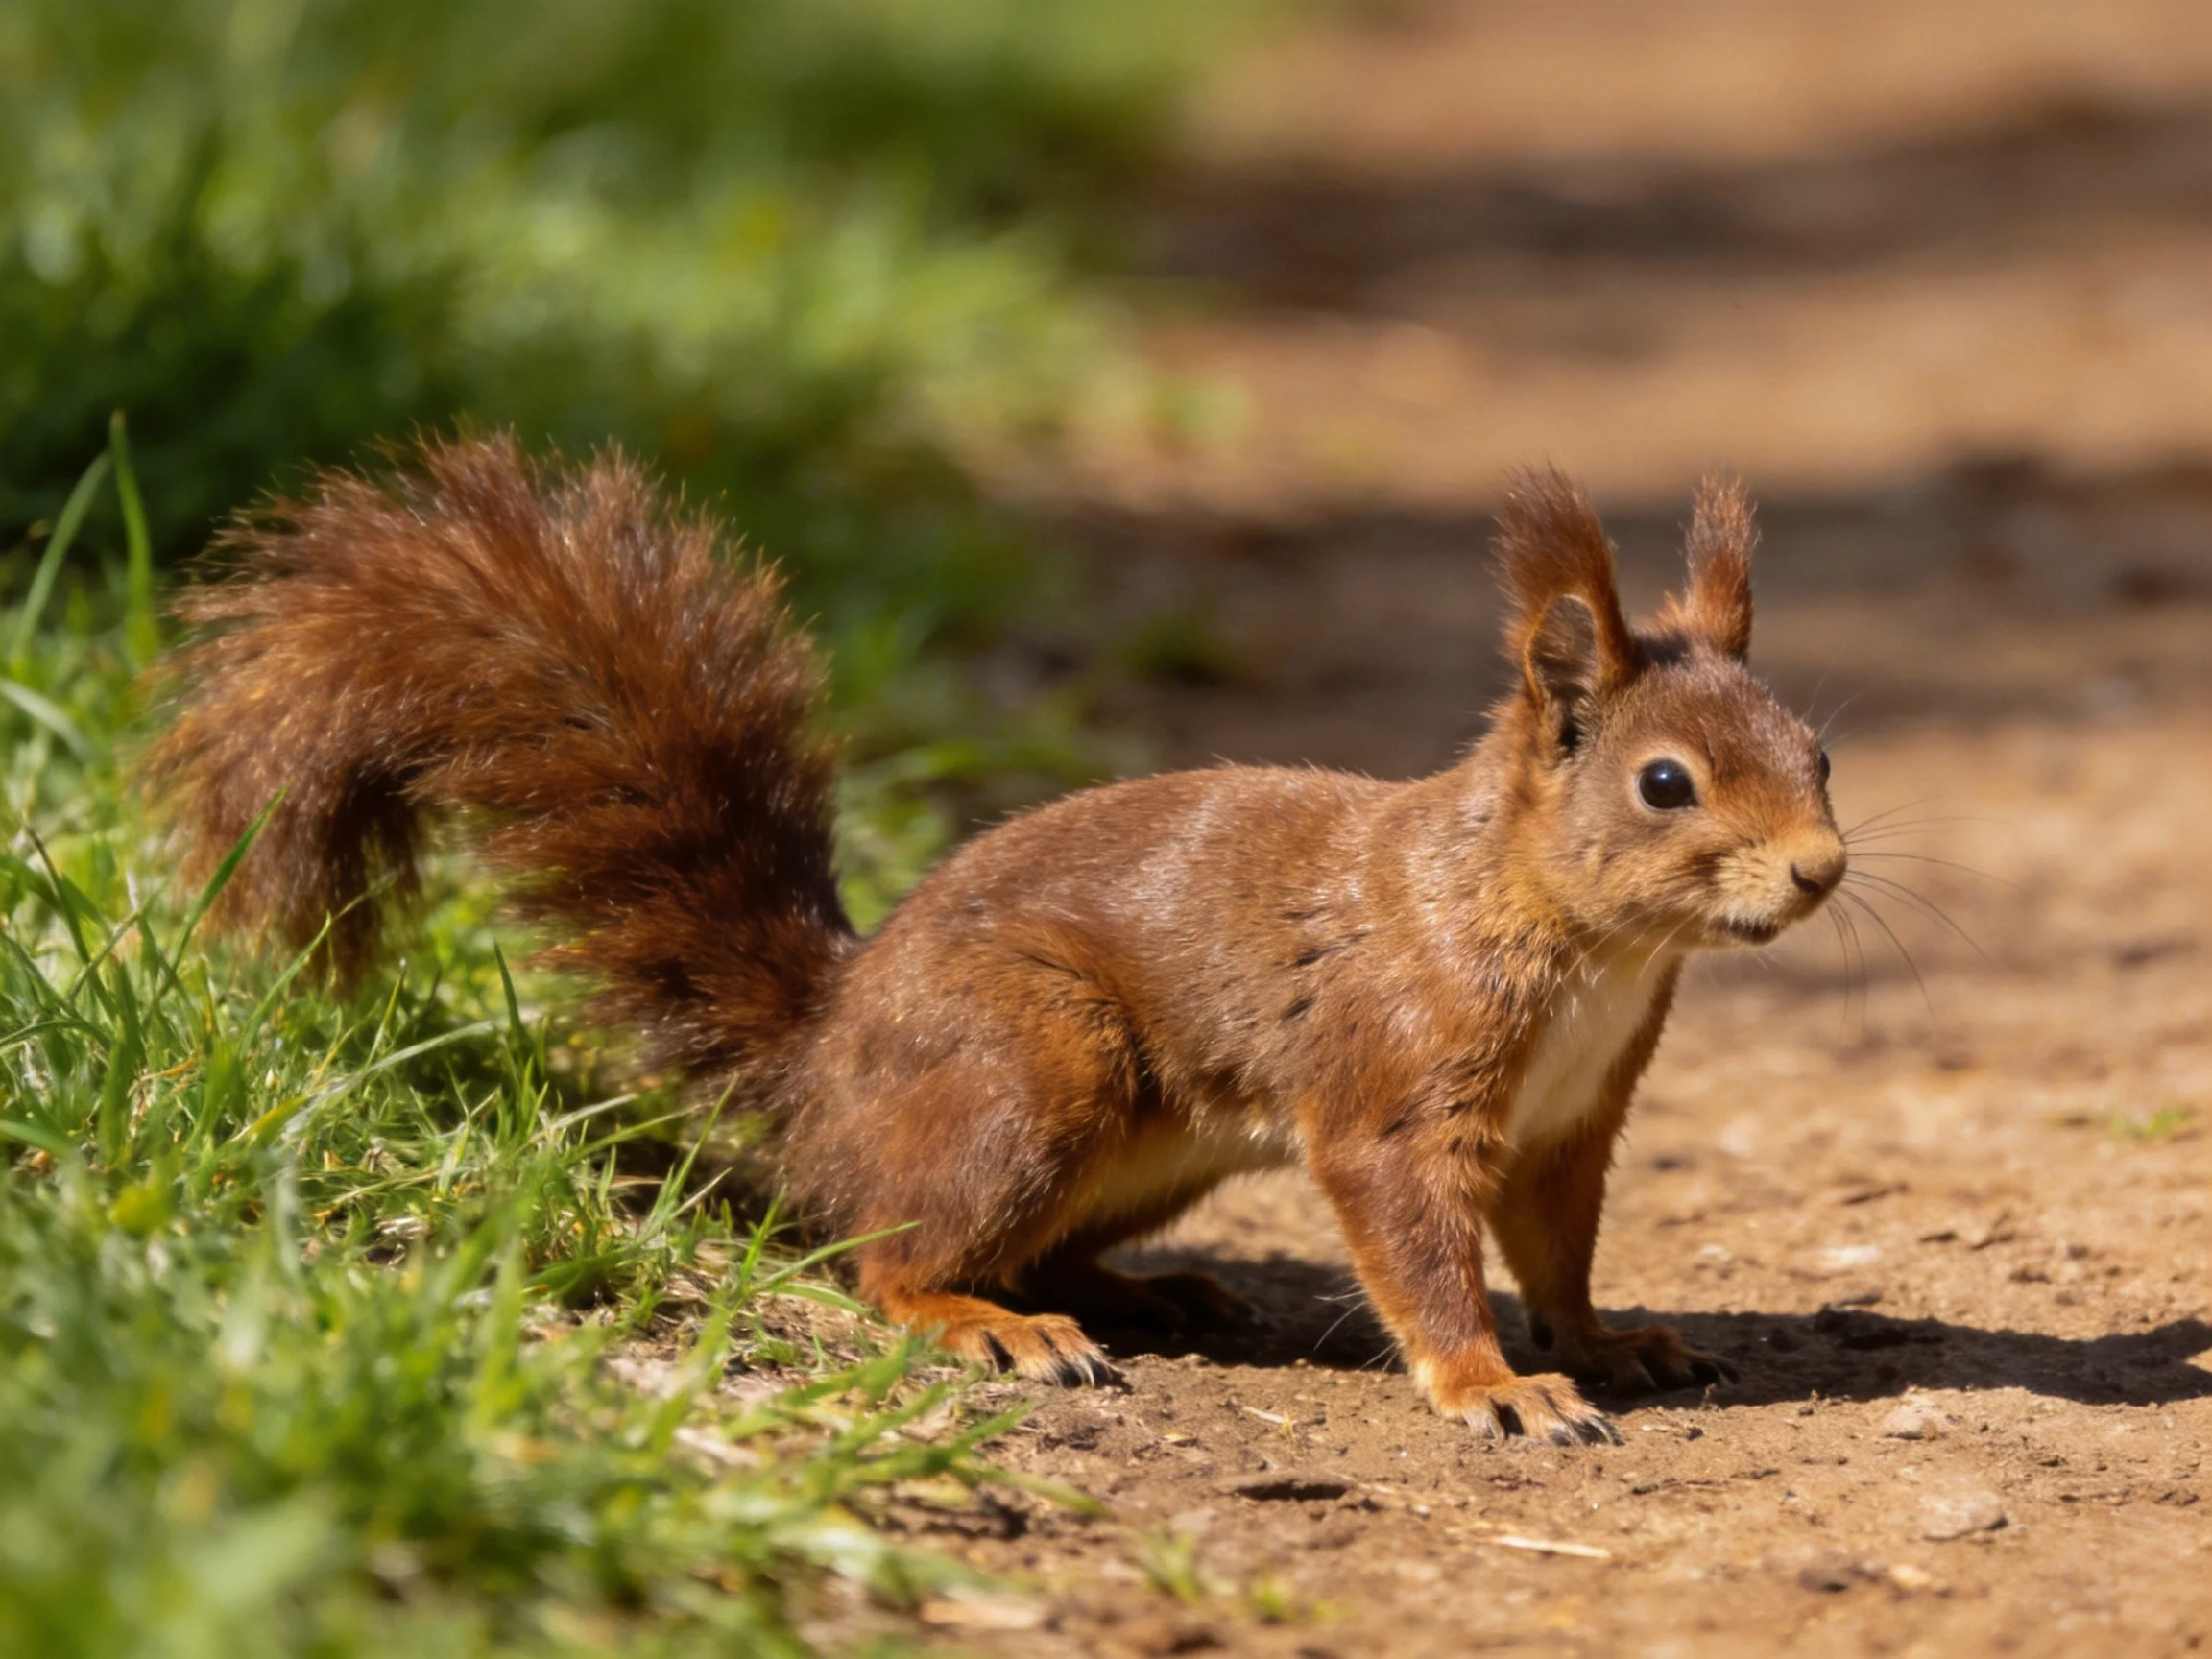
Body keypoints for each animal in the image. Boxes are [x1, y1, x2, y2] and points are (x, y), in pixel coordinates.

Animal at [146, 434, 1845, 1445]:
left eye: (1819, 748)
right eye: (1666, 783)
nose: (1824, 872)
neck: (1582, 941)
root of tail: (829, 1062)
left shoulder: (1574, 1119)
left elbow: (1558, 1247)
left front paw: (1608, 1340)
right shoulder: (1396, 1083)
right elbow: (1419, 1244)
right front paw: (1496, 1385)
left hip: (1143, 1140)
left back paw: (1151, 1295)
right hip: (1031, 1066)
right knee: (881, 1256)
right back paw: (991, 1328)